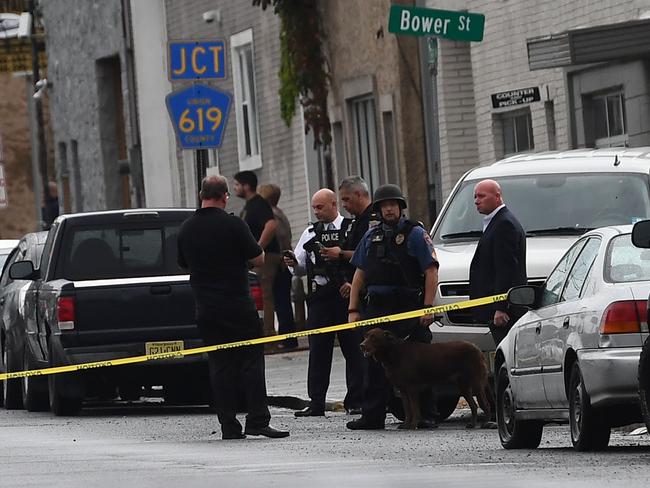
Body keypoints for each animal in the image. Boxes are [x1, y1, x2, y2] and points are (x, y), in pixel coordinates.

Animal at [360, 330, 492, 428]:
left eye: (373, 337)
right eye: (365, 336)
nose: (361, 345)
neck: (394, 352)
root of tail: (476, 348)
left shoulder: (412, 388)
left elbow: (414, 409)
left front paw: (413, 425)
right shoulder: (403, 389)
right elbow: (407, 409)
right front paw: (406, 424)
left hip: (476, 383)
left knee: (485, 404)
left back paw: (487, 423)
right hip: (464, 386)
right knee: (474, 405)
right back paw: (472, 424)